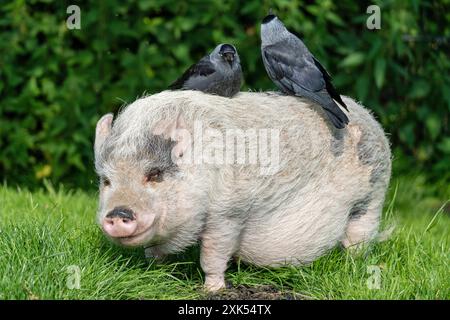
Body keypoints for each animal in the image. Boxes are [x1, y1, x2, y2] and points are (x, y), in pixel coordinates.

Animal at [94, 89, 390, 292]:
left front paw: (211, 290)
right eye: (106, 180)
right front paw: (153, 271)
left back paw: (352, 267)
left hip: (372, 196)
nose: (119, 213)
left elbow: (213, 255)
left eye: (154, 175)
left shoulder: (228, 212)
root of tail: (369, 116)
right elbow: (153, 252)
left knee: (359, 237)